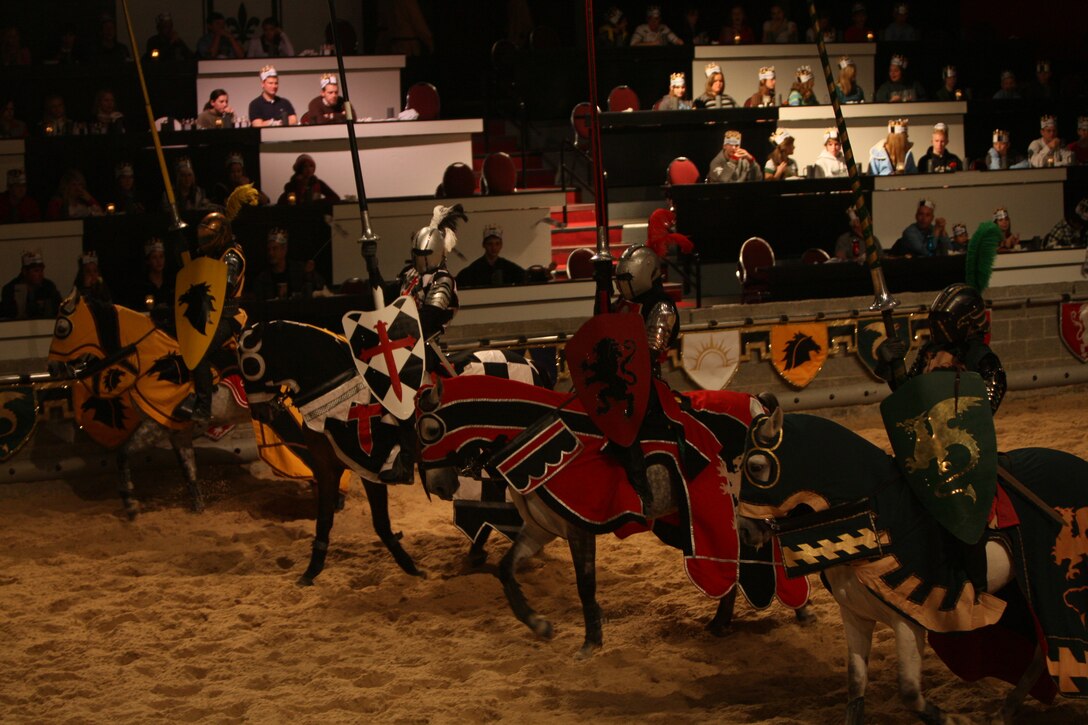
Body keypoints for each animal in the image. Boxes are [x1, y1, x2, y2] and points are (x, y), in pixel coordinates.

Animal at [47, 287, 249, 520]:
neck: (146, 355)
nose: (53, 368)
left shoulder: (156, 424)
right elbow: (188, 471)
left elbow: (123, 453)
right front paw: (198, 509)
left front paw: (130, 503)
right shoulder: (176, 431)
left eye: (61, 328)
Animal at [238, 320, 544, 583]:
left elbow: (381, 524)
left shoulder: (373, 466)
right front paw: (311, 571)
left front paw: (411, 568)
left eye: (250, 364)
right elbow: (324, 520)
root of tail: (529, 363)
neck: (337, 394)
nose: (259, 412)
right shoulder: (327, 468)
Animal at [415, 372, 809, 653]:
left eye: (430, 428)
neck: (545, 437)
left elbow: (585, 585)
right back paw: (724, 621)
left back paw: (798, 610)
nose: (437, 484)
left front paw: (591, 642)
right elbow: (506, 569)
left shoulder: (579, 527)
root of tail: (758, 405)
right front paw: (538, 623)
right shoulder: (541, 528)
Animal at [735, 396, 1083, 722]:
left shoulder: (910, 620)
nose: (744, 531)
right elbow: (855, 688)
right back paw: (1004, 711)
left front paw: (955, 719)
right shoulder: (855, 615)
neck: (878, 518)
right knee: (1041, 651)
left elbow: (910, 693)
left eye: (755, 467)